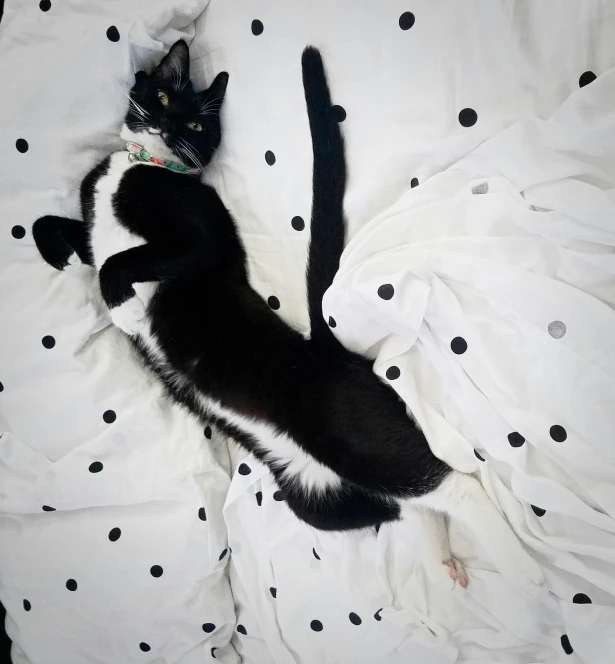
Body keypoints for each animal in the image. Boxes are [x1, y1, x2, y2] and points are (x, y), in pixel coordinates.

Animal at [33, 40, 544, 592]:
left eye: (196, 124)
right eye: (164, 96)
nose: (168, 125)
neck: (142, 166)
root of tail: (327, 349)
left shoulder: (200, 243)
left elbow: (118, 260)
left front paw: (123, 307)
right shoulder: (94, 215)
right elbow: (57, 228)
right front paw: (64, 259)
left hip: (347, 433)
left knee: (452, 482)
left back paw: (525, 574)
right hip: (314, 498)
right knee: (406, 504)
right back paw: (442, 564)